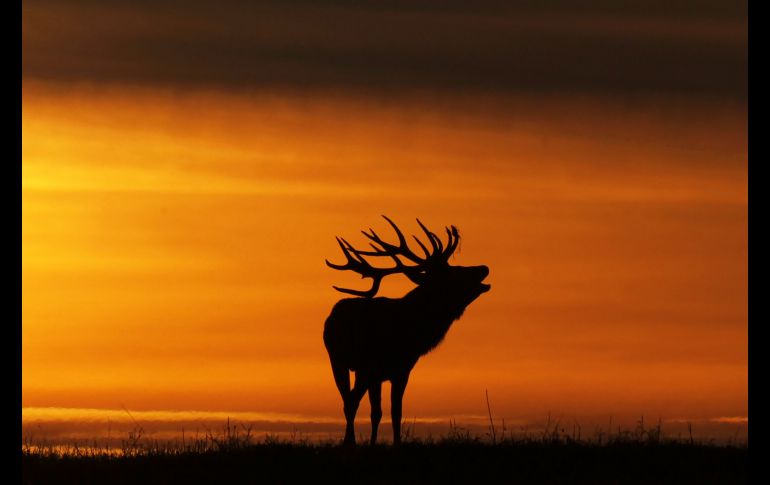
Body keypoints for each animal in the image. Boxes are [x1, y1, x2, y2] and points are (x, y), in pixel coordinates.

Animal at [323, 215, 491, 446]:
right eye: (453, 273)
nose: (484, 267)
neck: (411, 331)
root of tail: (332, 317)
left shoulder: (399, 370)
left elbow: (392, 412)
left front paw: (390, 443)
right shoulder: (377, 368)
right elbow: (377, 410)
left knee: (350, 399)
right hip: (339, 361)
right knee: (349, 401)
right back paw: (350, 442)